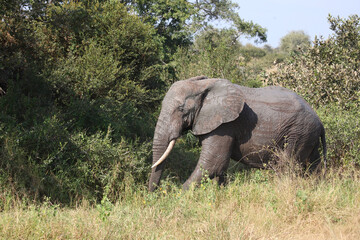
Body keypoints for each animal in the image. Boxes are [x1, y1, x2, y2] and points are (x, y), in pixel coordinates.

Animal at [148, 76, 326, 192]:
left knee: (286, 166)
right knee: (312, 166)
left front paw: (177, 197)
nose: (153, 195)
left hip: (299, 133)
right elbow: (218, 168)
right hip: (308, 135)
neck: (203, 85)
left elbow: (212, 164)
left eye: (181, 109)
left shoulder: (225, 125)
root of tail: (319, 120)